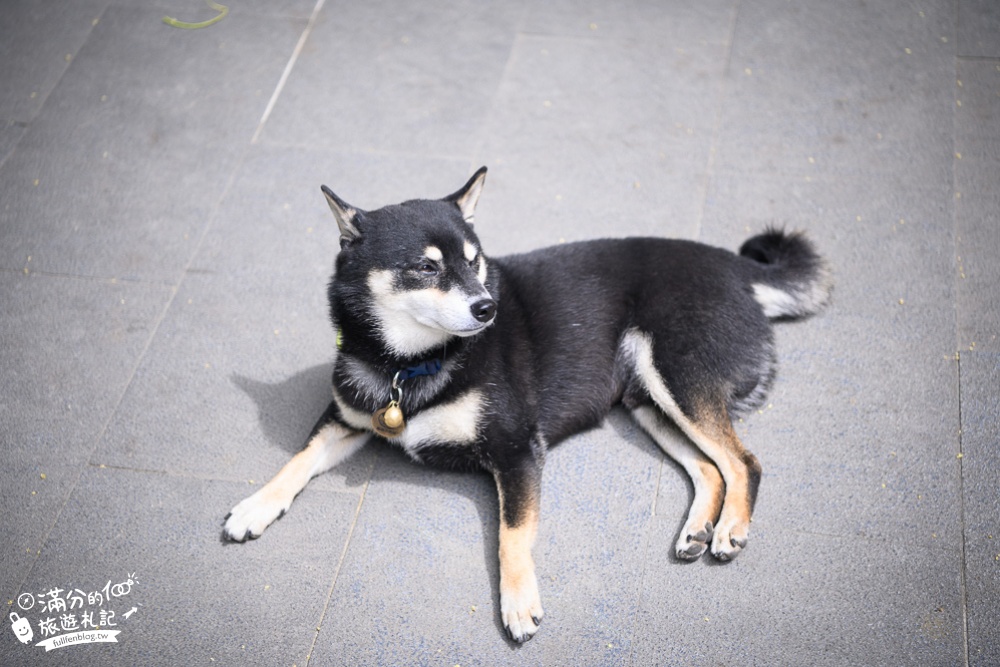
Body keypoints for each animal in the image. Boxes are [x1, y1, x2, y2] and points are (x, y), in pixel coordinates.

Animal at [223, 167, 832, 640]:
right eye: (427, 266)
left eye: (475, 261)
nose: (487, 307)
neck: (410, 365)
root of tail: (736, 267)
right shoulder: (346, 418)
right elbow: (297, 460)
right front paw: (254, 507)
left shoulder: (517, 450)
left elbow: (511, 536)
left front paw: (518, 604)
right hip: (648, 402)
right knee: (709, 466)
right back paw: (697, 531)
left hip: (677, 379)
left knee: (743, 462)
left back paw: (729, 532)